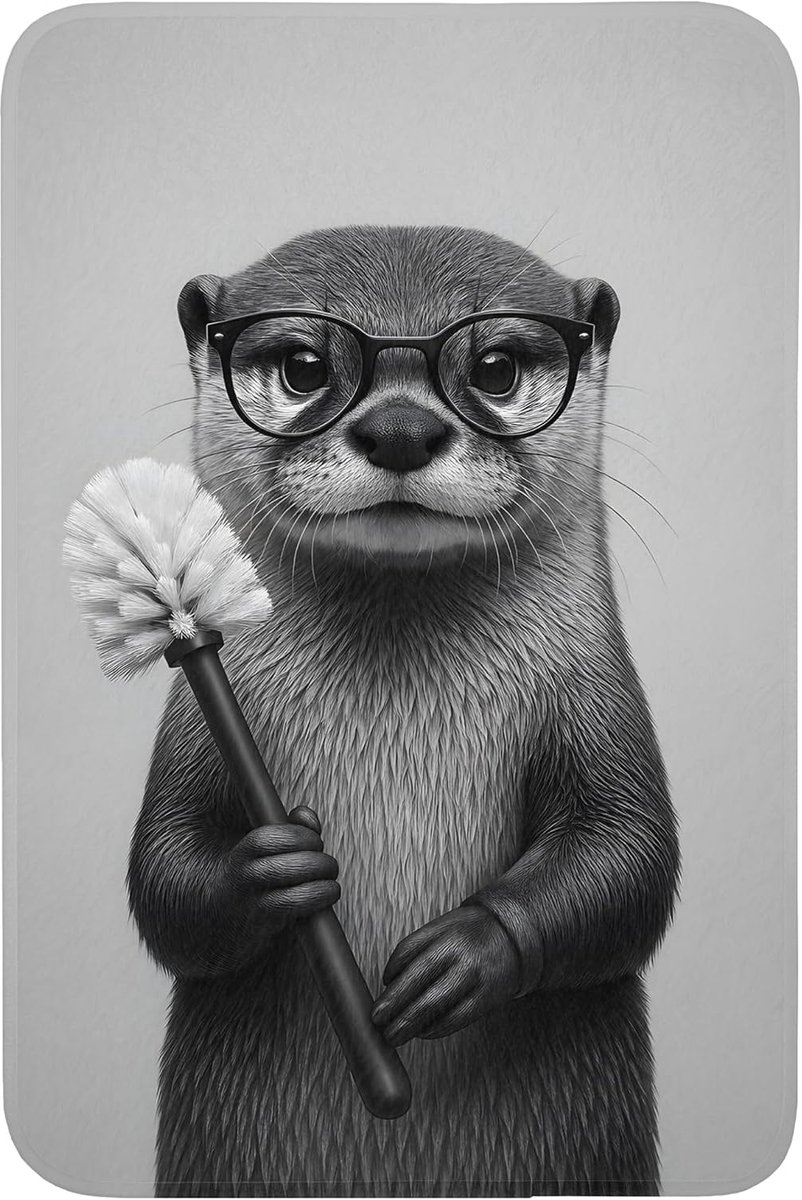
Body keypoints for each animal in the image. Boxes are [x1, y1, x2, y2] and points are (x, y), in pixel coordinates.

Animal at [127, 225, 680, 1197]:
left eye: (495, 367)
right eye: (305, 366)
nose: (400, 429)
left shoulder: (600, 700)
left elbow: (629, 856)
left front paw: (464, 956)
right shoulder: (196, 726)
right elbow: (164, 875)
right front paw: (273, 868)